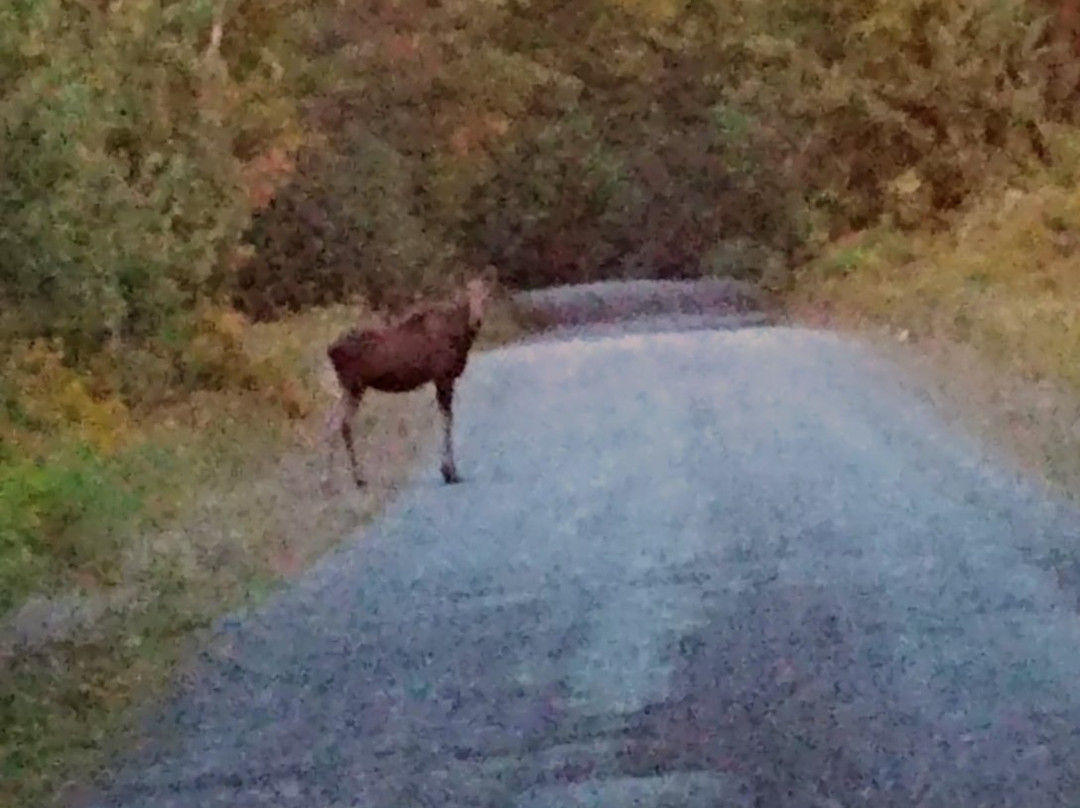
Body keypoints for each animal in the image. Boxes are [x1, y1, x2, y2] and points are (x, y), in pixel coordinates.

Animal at [321, 267, 494, 488]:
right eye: (467, 296)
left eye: (486, 296)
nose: (476, 320)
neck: (461, 337)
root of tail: (330, 350)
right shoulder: (443, 376)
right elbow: (447, 418)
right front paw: (449, 472)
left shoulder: (443, 378)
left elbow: (446, 418)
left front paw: (448, 471)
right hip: (354, 385)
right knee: (340, 423)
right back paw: (343, 479)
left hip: (350, 388)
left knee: (333, 423)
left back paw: (344, 479)